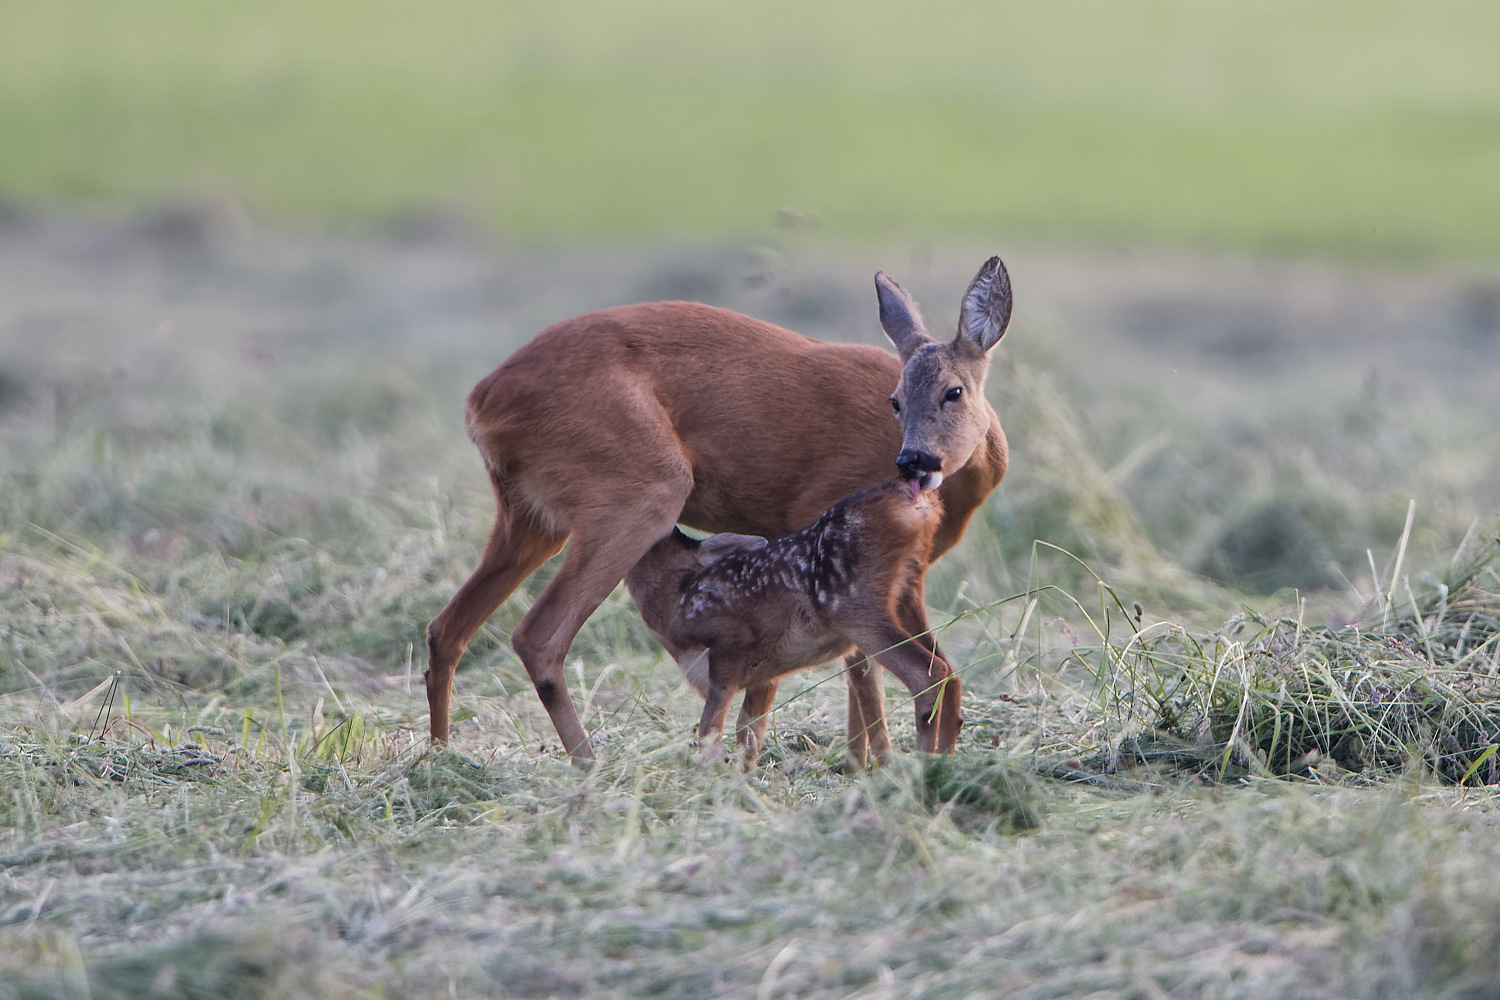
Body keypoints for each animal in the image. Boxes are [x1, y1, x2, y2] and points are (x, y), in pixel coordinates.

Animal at [624, 476, 960, 767]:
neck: (677, 600)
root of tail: (911, 496)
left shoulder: (731, 643)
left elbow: (711, 729)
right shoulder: (764, 675)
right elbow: (749, 733)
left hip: (856, 608)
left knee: (929, 673)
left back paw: (922, 764)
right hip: (906, 593)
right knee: (950, 671)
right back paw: (945, 762)